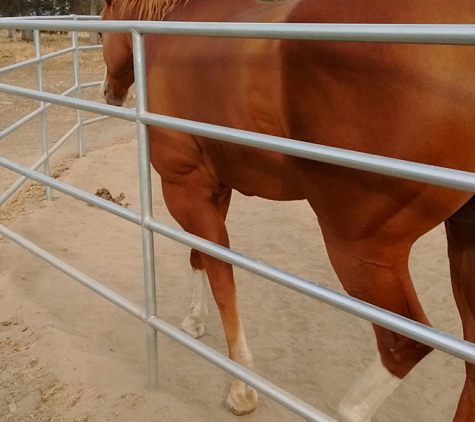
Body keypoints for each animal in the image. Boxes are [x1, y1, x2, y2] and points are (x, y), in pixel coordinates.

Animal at [101, 0, 475, 420]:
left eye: (99, 32)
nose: (108, 92)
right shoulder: (214, 188)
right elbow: (201, 258)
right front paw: (195, 320)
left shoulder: (184, 186)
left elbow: (221, 276)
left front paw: (242, 388)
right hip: (462, 241)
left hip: (362, 251)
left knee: (405, 344)